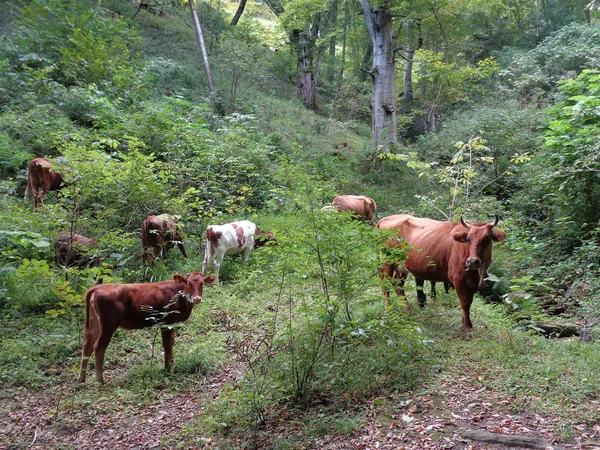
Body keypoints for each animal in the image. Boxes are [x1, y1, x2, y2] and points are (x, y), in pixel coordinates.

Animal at [78, 270, 216, 384]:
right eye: (189, 284)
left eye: (202, 284)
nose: (197, 298)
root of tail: (98, 287)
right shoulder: (165, 322)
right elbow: (167, 345)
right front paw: (167, 369)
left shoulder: (171, 323)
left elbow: (171, 343)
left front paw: (172, 365)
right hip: (108, 324)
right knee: (98, 347)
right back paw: (100, 380)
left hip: (95, 323)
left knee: (87, 345)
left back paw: (81, 379)